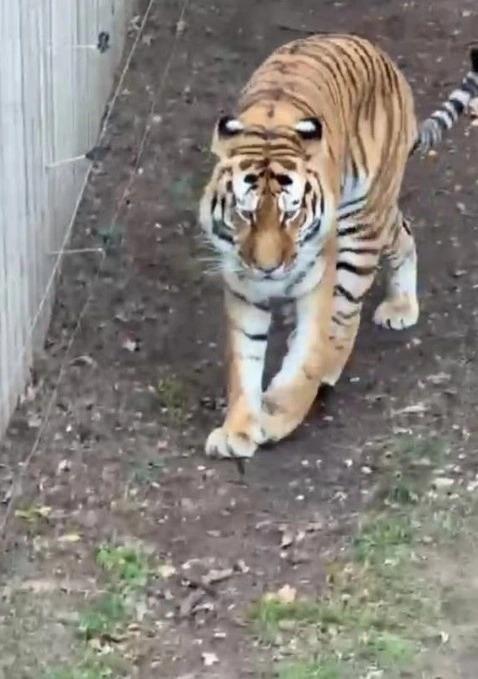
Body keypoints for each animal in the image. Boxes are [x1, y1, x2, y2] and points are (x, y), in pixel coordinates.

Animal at [198, 33, 478, 460]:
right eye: (245, 213)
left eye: (290, 213)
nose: (268, 268)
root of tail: (376, 51)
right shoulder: (244, 288)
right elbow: (244, 361)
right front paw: (237, 431)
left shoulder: (316, 282)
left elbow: (307, 358)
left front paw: (276, 417)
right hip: (377, 213)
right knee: (404, 229)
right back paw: (399, 305)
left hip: (361, 223)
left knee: (345, 315)